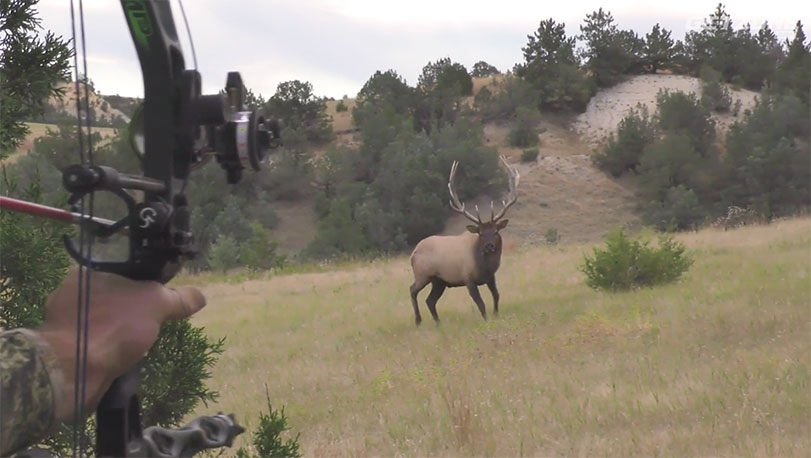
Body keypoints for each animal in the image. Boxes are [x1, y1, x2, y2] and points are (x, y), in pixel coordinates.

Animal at [409, 155, 520, 325]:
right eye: (480, 233)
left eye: (495, 231)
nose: (489, 246)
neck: (485, 267)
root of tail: (413, 253)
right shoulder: (468, 278)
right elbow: (480, 303)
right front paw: (486, 320)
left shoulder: (491, 277)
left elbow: (496, 295)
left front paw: (496, 314)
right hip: (423, 274)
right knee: (412, 290)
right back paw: (418, 320)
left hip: (439, 281)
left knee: (430, 300)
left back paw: (438, 323)